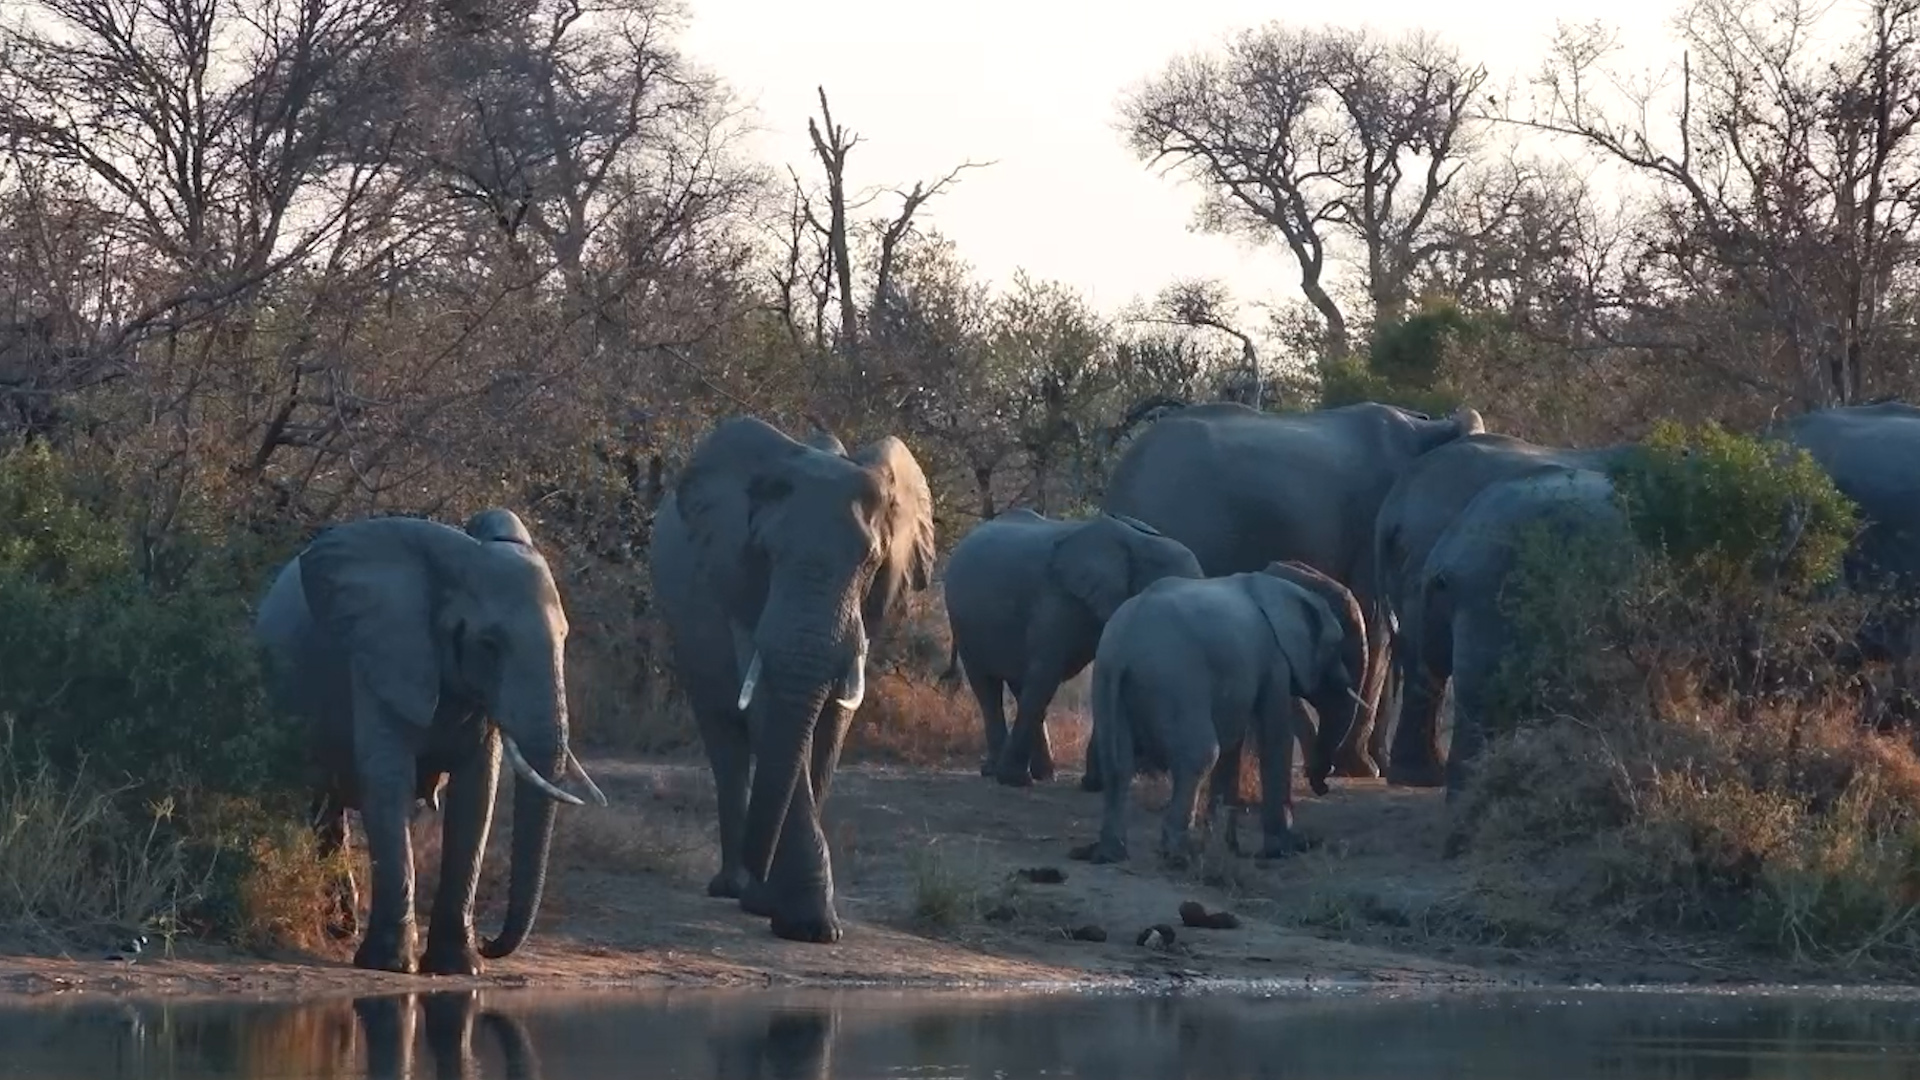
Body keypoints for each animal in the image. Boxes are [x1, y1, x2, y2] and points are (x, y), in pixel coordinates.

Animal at [253, 508, 604, 975]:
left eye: (565, 638)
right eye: (488, 644)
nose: (491, 941)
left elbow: (476, 795)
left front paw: (461, 966)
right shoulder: (382, 655)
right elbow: (389, 782)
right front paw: (390, 964)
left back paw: (341, 930)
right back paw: (342, 932)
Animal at [648, 417, 935, 943]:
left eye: (871, 562)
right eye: (765, 554)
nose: (757, 881)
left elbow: (832, 724)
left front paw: (782, 911)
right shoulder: (742, 587)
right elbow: (766, 707)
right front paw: (805, 925)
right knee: (725, 739)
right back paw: (730, 886)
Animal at [941, 508, 1204, 787]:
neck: (1140, 544)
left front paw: (1096, 784)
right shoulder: (1058, 599)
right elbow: (1046, 673)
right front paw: (1014, 780)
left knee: (1021, 685)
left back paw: (1044, 774)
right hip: (962, 623)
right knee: (989, 688)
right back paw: (999, 772)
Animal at [1069, 560, 1368, 864]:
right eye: (1336, 645)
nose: (1324, 786)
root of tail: (1123, 645)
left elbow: (1234, 743)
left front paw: (1226, 846)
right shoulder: (1274, 657)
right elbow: (1274, 734)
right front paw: (1285, 849)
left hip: (1106, 682)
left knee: (1118, 764)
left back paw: (1109, 853)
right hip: (1176, 681)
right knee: (1199, 754)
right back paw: (1180, 855)